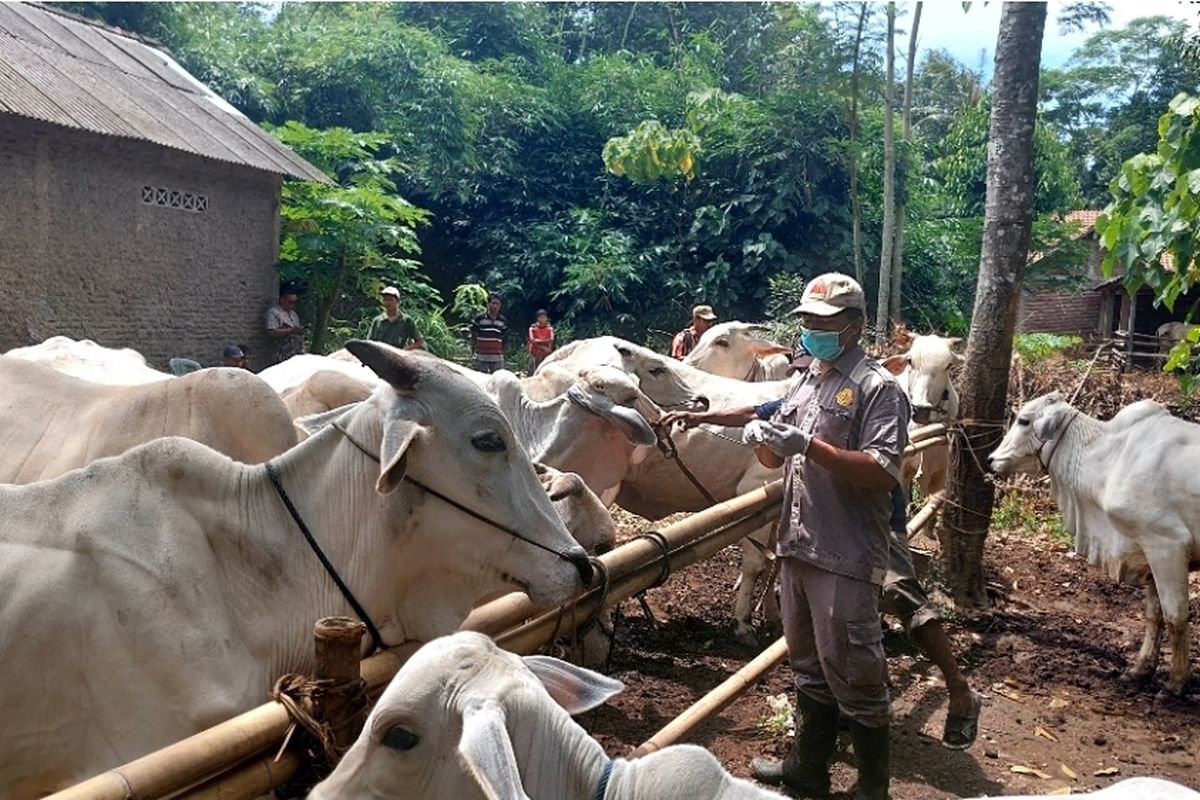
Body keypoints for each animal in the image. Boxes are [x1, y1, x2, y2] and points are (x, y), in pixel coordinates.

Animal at [988, 393, 1200, 695]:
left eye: (1024, 420)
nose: (991, 459)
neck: (1110, 454)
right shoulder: (1145, 551)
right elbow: (1153, 614)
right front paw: (1139, 669)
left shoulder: (1167, 545)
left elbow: (1175, 615)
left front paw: (1177, 682)